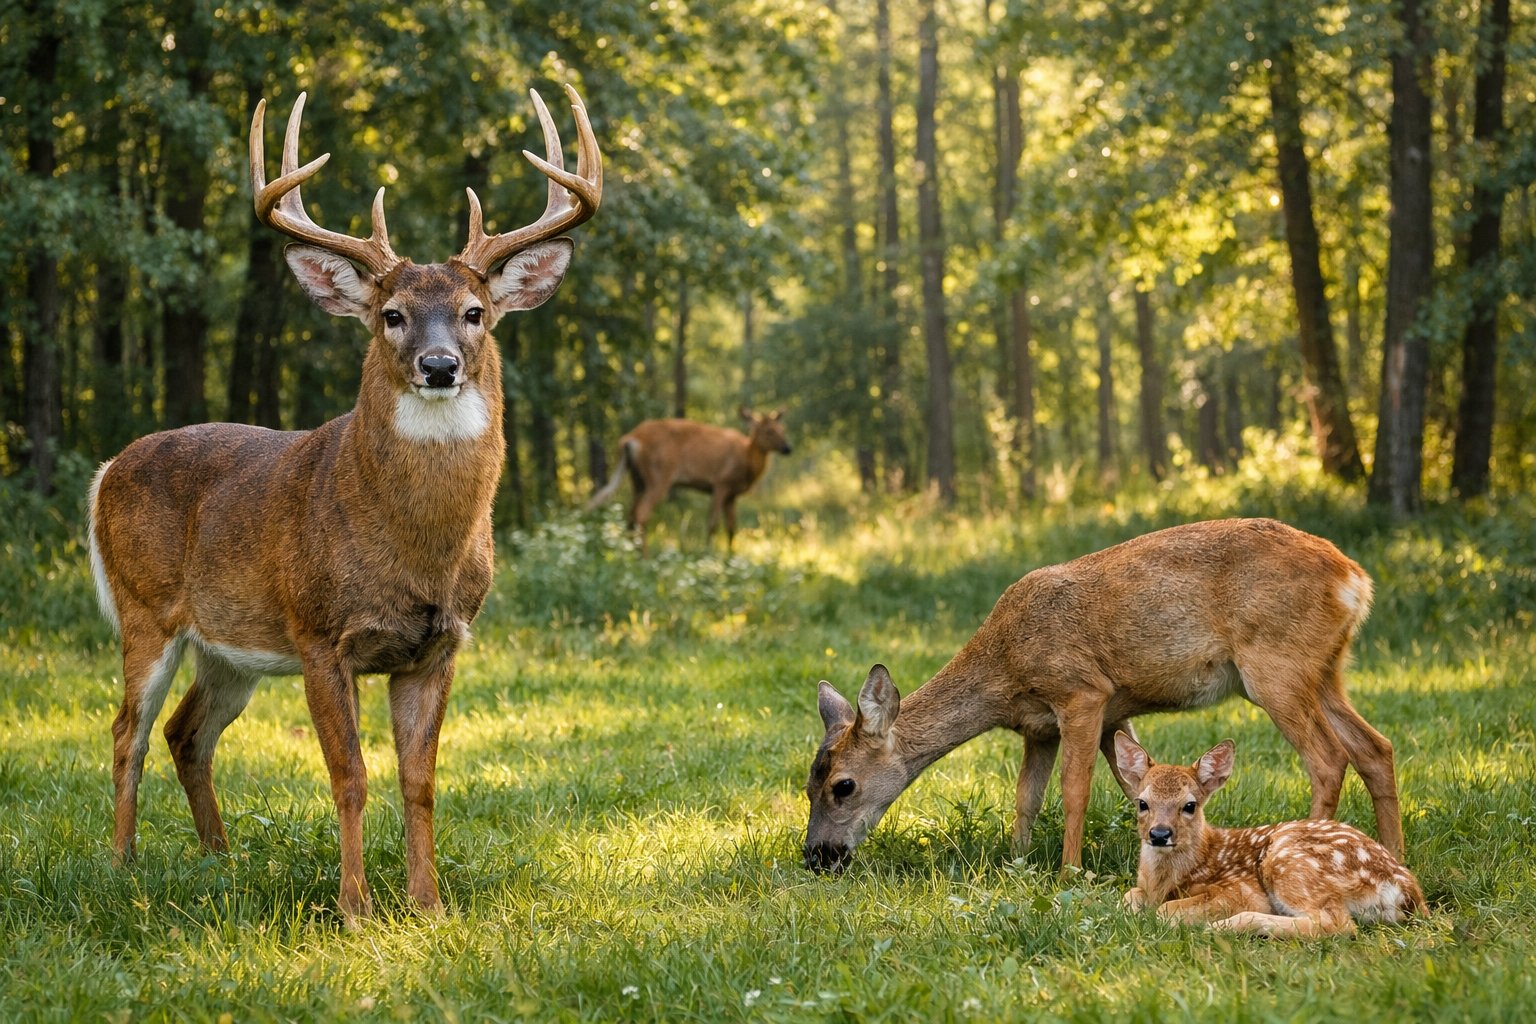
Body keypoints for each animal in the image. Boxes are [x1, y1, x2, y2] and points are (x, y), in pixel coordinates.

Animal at [86, 84, 601, 926]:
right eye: (392, 314)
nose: (438, 365)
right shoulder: (322, 634)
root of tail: (106, 469)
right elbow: (349, 776)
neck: (415, 549)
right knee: (127, 729)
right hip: (146, 609)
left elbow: (419, 781)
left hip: (230, 645)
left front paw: (427, 904)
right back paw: (123, 865)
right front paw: (355, 907)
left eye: (474, 311)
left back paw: (220, 859)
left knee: (186, 731)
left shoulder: (439, 644)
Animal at [584, 407, 792, 551]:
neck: (747, 459)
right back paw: (645, 557)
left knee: (630, 515)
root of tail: (631, 439)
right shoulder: (720, 483)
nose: (787, 448)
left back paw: (631, 553)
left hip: (638, 480)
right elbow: (713, 524)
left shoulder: (732, 495)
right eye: (768, 431)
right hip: (659, 475)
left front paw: (731, 557)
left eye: (782, 429)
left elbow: (732, 527)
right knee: (641, 513)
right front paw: (710, 554)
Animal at [803, 518, 1403, 876]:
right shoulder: (1053, 725)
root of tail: (1355, 579)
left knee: (1328, 758)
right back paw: (1394, 854)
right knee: (1375, 747)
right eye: (807, 785)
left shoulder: (1083, 692)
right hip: (1325, 669)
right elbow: (1036, 796)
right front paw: (1018, 862)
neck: (1004, 668)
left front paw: (1069, 872)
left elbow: (1075, 791)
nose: (815, 857)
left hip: (1275, 664)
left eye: (842, 785)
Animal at [1114, 733, 1423, 937]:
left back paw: (1221, 927)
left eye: (1190, 805)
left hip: (1288, 863)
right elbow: (1128, 897)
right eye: (1142, 803)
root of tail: (1405, 890)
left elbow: (1164, 911)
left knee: (1338, 924)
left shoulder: (1240, 889)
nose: (1159, 834)